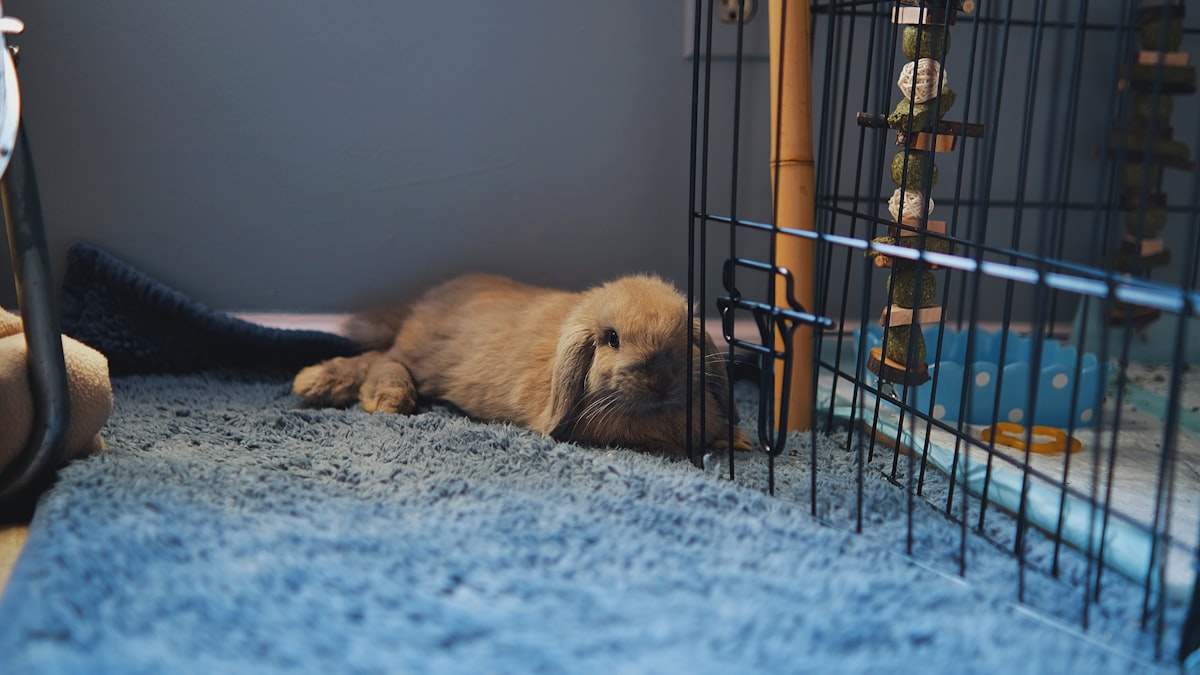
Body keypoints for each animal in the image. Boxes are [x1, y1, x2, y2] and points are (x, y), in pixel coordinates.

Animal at [293, 273, 752, 456]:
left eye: (684, 336)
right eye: (612, 339)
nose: (661, 379)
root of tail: (421, 305)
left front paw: (736, 439)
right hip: (420, 357)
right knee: (381, 360)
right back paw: (364, 394)